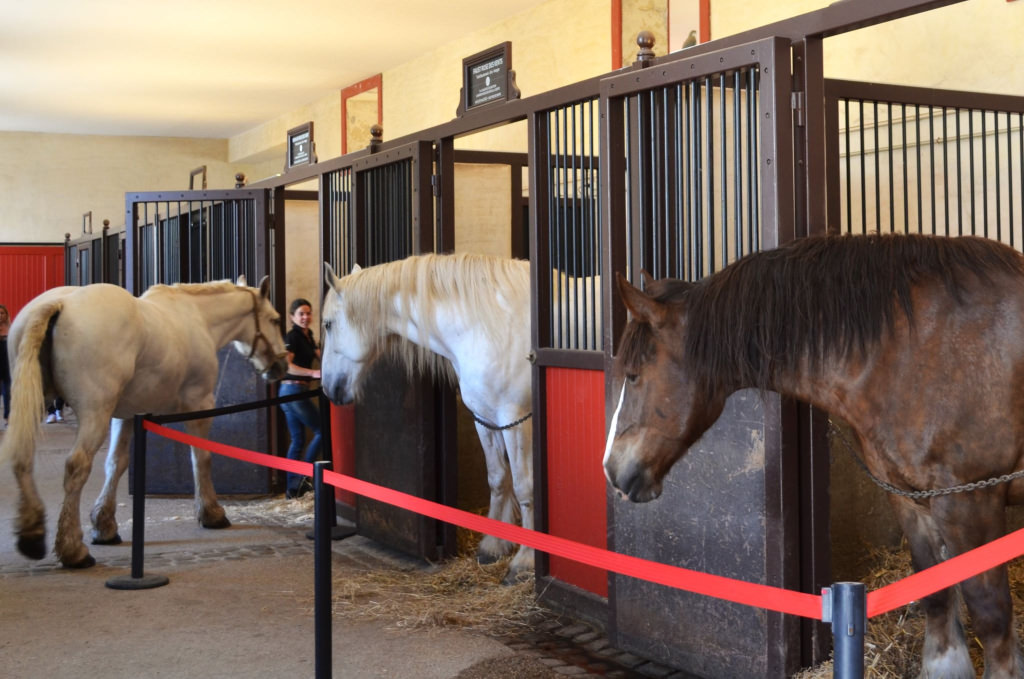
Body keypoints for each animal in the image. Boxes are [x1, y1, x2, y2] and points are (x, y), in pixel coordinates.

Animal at [0, 276, 288, 569]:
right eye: (275, 320)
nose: (281, 366)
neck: (199, 318)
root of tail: (59, 303)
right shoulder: (200, 404)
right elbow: (201, 458)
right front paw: (212, 513)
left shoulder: (126, 415)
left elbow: (116, 463)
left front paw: (104, 526)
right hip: (94, 414)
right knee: (76, 467)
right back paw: (73, 550)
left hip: (35, 402)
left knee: (23, 457)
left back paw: (33, 535)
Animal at [323, 251, 540, 581]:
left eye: (328, 325)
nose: (327, 387)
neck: (485, 325)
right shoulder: (486, 419)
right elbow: (498, 478)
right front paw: (493, 546)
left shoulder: (515, 421)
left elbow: (524, 486)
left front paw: (525, 561)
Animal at [602, 232, 1024, 675]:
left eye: (634, 374)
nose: (612, 469)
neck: (918, 351)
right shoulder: (912, 500)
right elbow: (938, 599)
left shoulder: (969, 501)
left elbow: (991, 616)